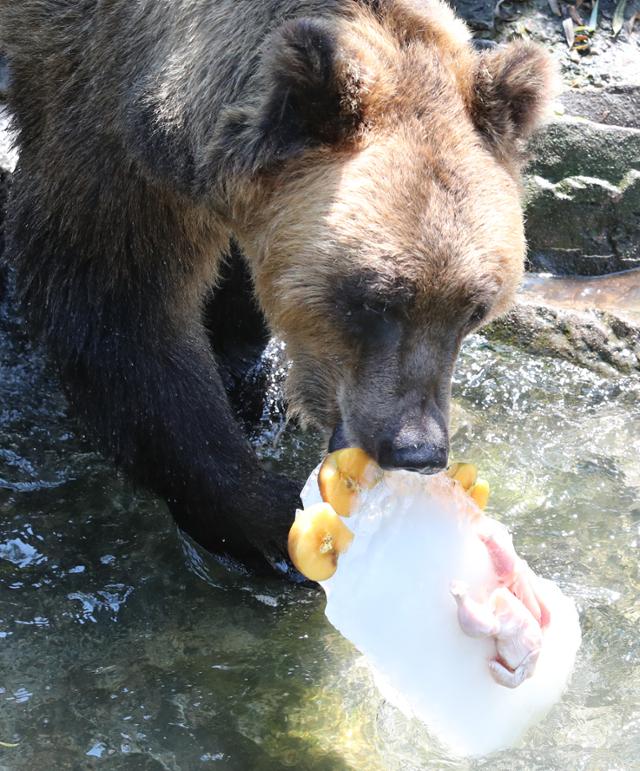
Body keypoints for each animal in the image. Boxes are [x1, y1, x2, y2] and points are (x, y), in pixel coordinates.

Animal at [0, 0, 552, 576]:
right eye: (376, 301)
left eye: (475, 309)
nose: (417, 449)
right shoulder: (105, 128)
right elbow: (120, 312)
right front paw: (268, 514)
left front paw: (246, 370)